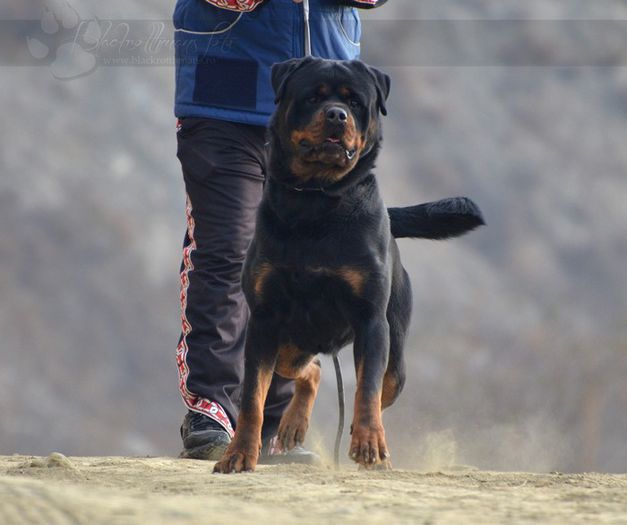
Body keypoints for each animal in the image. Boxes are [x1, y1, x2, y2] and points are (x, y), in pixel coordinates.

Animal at [213, 55, 484, 472]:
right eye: (313, 96)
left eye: (356, 102)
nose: (337, 115)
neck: (315, 199)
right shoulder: (264, 320)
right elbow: (252, 399)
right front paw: (239, 453)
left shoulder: (372, 321)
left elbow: (367, 390)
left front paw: (370, 442)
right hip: (288, 343)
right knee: (310, 369)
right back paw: (292, 425)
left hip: (396, 355)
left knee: (374, 388)